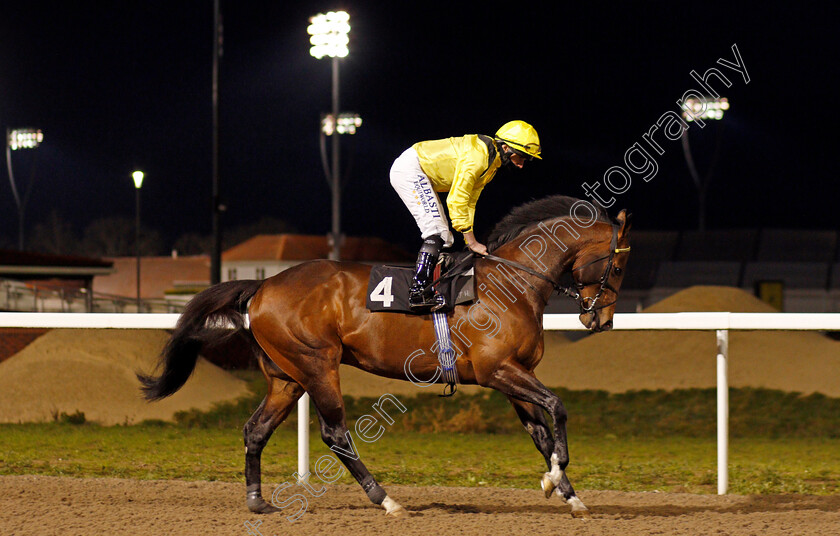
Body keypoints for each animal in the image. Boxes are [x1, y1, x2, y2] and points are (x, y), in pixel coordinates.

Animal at [138, 196, 632, 520]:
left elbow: (541, 433)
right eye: (619, 265)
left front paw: (569, 494)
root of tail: (262, 285)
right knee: (335, 432)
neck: (511, 284)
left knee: (255, 429)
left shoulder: (515, 374)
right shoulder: (498, 370)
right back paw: (386, 499)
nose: (601, 319)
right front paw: (556, 480)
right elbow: (557, 407)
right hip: (317, 364)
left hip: (287, 376)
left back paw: (258, 501)